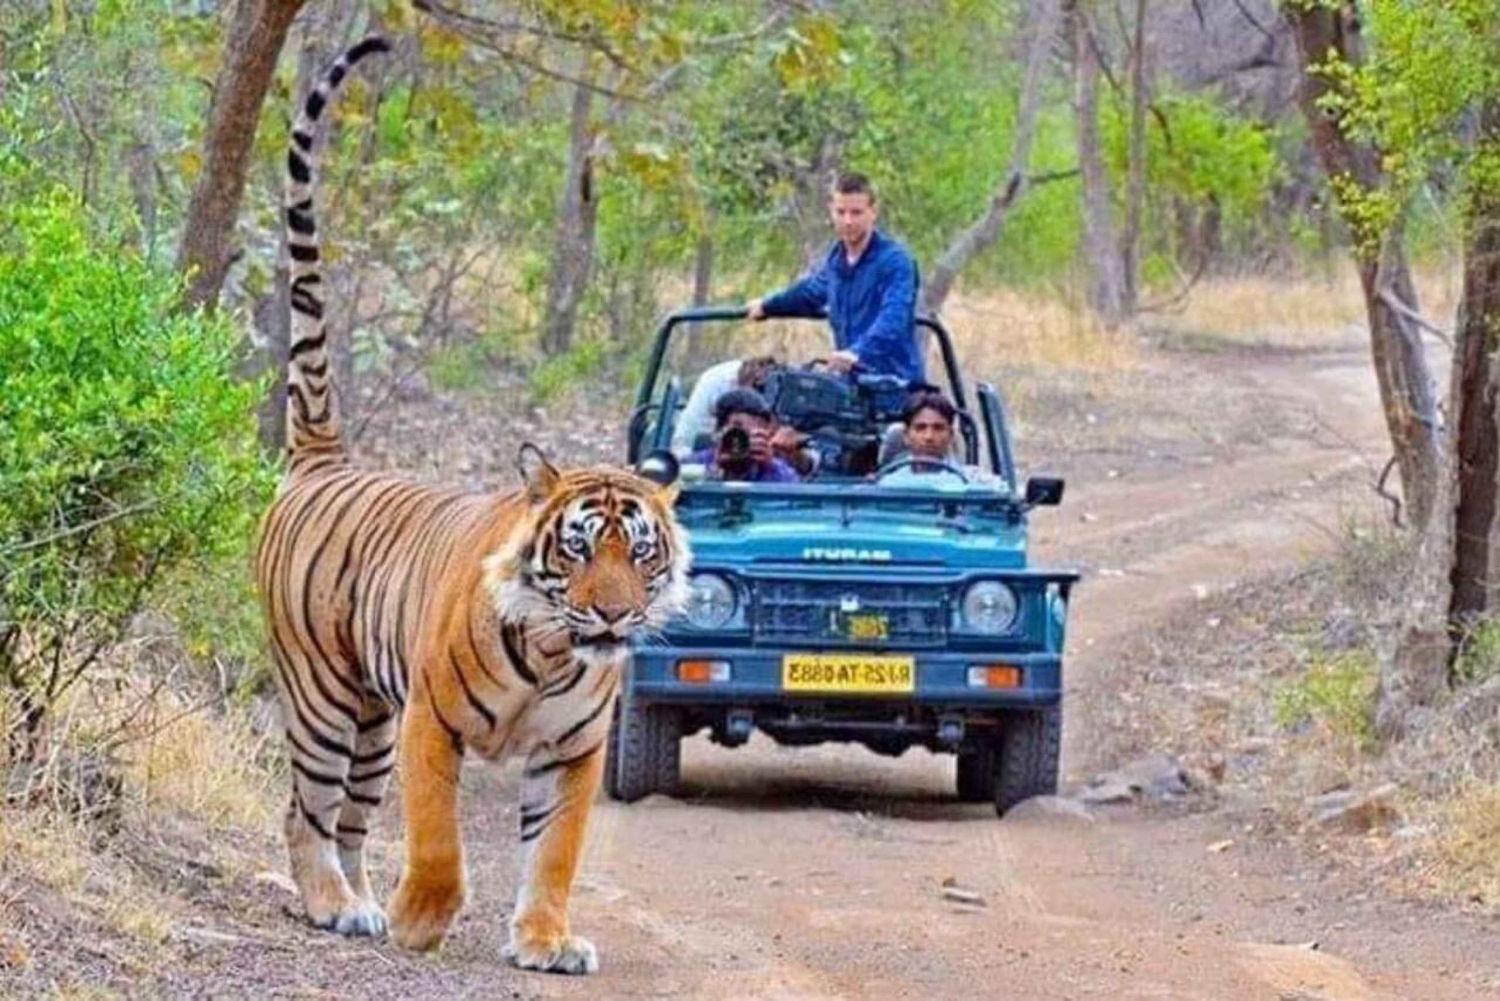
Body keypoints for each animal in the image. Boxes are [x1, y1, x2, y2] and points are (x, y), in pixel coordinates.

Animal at [256, 35, 690, 972]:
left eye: (640, 552)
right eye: (579, 547)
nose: (612, 615)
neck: (558, 650)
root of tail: (321, 461)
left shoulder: (573, 752)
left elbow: (555, 852)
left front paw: (546, 939)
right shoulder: (432, 721)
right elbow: (439, 838)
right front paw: (424, 918)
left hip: (371, 720)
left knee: (349, 819)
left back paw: (359, 902)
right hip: (323, 694)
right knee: (306, 808)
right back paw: (333, 903)